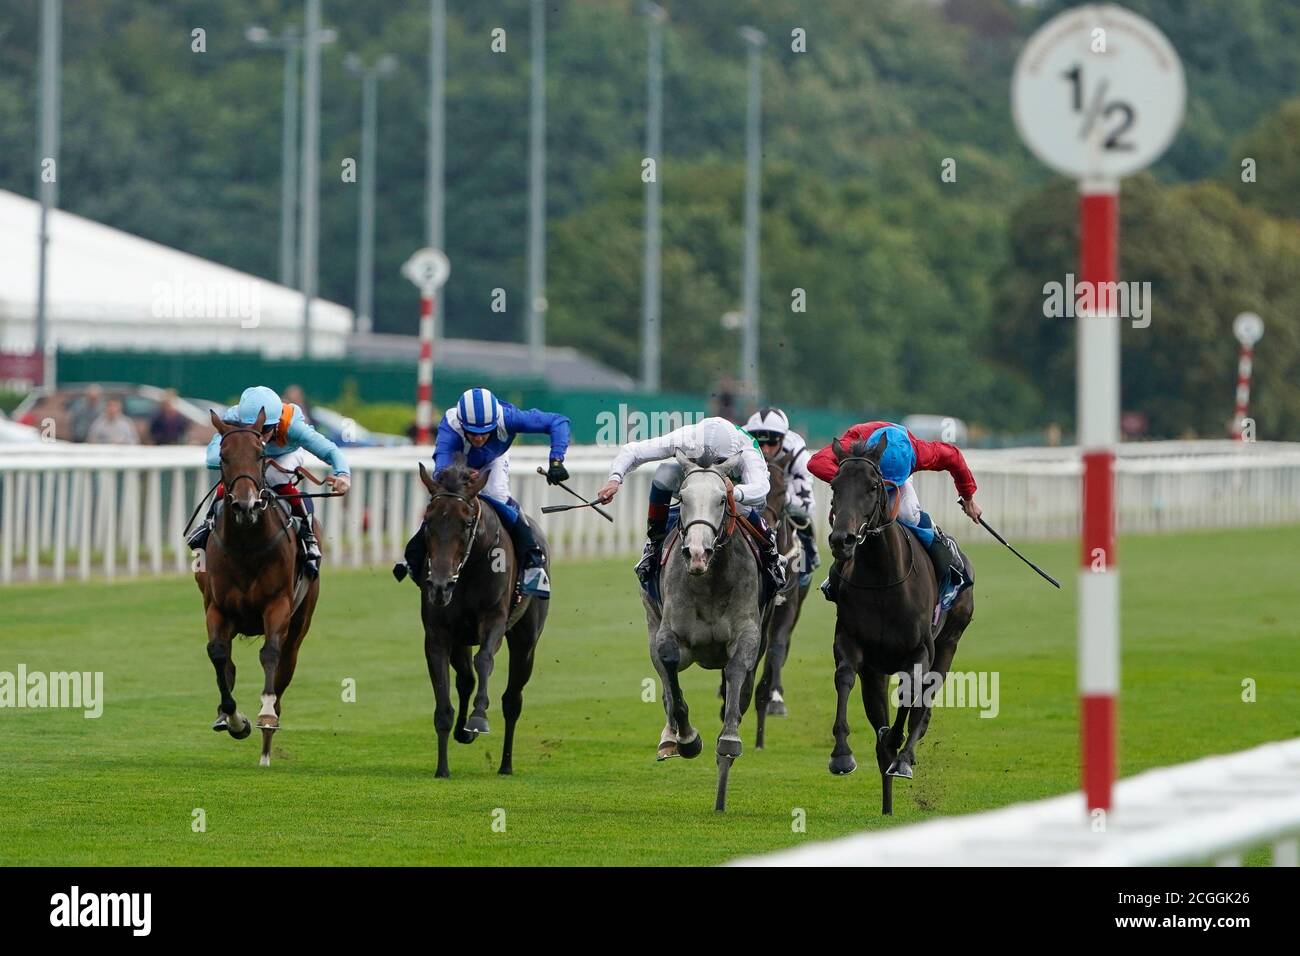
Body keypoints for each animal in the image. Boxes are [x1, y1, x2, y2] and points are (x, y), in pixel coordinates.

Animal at [196, 408, 321, 764]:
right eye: (223, 456)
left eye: (260, 454)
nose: (246, 505)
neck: (246, 546)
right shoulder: (216, 608)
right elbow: (218, 654)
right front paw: (233, 719)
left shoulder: (277, 605)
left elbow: (270, 654)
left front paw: (265, 714)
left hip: (300, 623)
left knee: (284, 667)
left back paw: (268, 742)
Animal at [410, 460, 543, 780]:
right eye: (428, 521)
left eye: (466, 522)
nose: (440, 585)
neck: (469, 567)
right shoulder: (438, 633)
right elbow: (444, 700)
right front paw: (442, 767)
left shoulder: (494, 620)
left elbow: (484, 660)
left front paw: (479, 717)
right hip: (460, 640)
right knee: (466, 679)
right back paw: (463, 732)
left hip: (526, 643)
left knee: (512, 700)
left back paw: (506, 764)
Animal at [644, 452, 764, 811]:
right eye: (682, 498)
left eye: (722, 499)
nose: (697, 553)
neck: (709, 580)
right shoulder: (668, 634)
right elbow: (671, 673)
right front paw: (687, 739)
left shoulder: (748, 632)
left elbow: (737, 673)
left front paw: (729, 740)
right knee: (666, 685)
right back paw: (669, 738)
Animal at [826, 437, 972, 811]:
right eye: (834, 486)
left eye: (872, 486)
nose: (842, 540)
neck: (882, 579)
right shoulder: (851, 643)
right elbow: (844, 678)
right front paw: (842, 754)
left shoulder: (919, 650)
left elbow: (911, 693)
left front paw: (899, 748)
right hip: (877, 671)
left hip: (949, 643)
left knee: (926, 699)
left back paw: (904, 754)